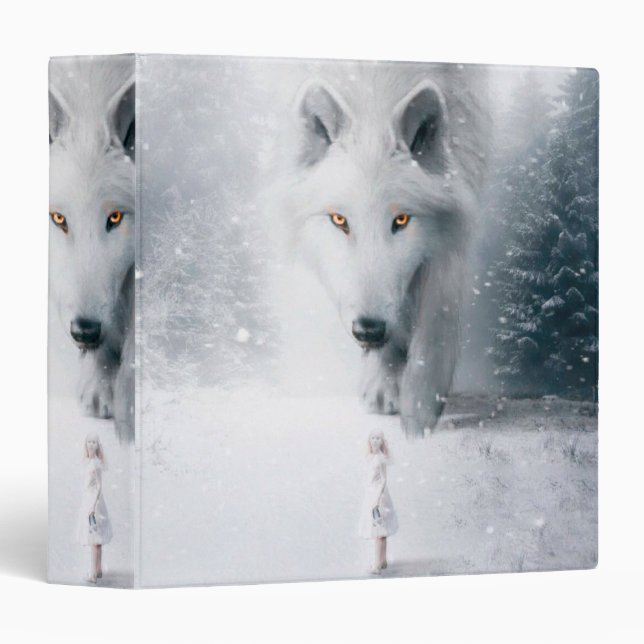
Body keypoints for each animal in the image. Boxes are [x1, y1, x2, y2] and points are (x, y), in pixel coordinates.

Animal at [274, 64, 489, 436]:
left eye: (401, 219)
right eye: (339, 220)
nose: (369, 330)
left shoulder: (453, 218)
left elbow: (439, 311)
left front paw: (421, 407)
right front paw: (384, 380)